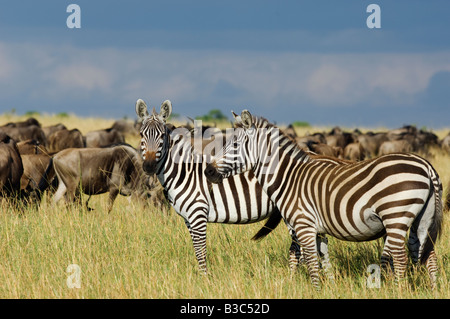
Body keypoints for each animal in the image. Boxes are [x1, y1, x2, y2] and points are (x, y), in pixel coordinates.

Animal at [135, 100, 312, 276]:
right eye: (141, 135)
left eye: (162, 136)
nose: (149, 166)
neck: (184, 172)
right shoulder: (188, 219)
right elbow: (196, 249)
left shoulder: (198, 215)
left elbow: (201, 251)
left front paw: (204, 279)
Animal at [206, 110, 444, 290]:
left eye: (234, 146)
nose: (208, 171)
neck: (289, 177)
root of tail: (426, 165)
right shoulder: (319, 230)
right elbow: (323, 262)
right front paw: (327, 288)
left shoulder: (304, 225)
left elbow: (311, 262)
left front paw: (315, 290)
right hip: (421, 220)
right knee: (429, 255)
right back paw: (432, 290)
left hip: (396, 216)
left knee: (401, 258)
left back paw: (397, 290)